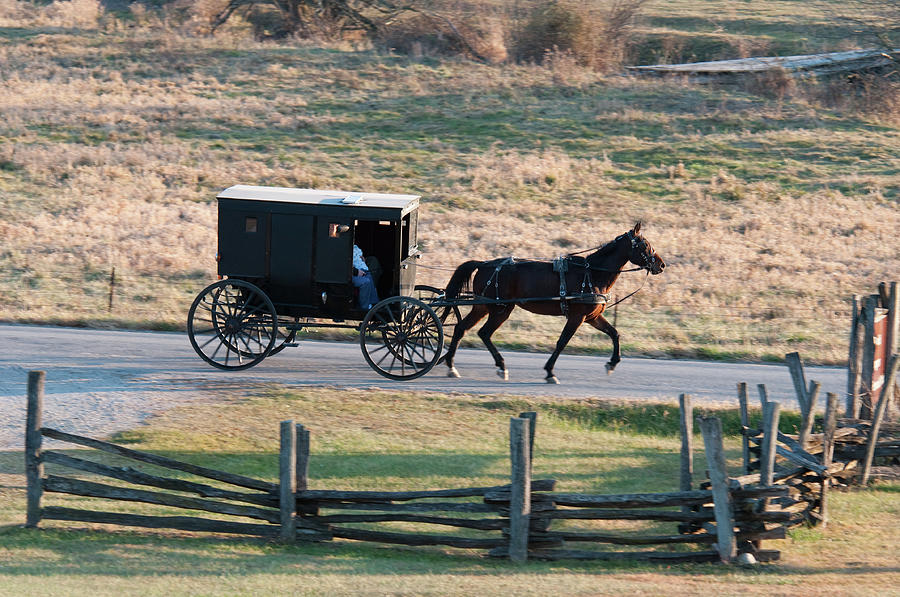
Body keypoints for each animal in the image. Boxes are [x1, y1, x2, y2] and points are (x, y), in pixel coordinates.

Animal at [440, 222, 664, 382]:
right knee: (484, 333)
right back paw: (500, 366)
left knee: (461, 328)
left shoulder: (592, 317)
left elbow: (614, 333)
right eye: (645, 244)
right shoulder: (577, 316)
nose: (661, 265)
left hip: (484, 306)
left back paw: (451, 365)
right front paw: (550, 372)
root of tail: (485, 263)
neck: (592, 274)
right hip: (501, 309)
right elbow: (562, 342)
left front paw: (612, 363)